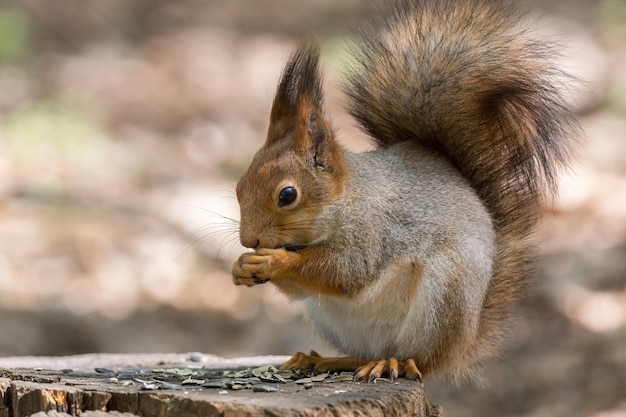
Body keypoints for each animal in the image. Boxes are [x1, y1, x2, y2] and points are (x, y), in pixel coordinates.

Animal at [230, 0, 576, 384]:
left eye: (287, 195)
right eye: (239, 187)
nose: (249, 240)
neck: (346, 200)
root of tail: (464, 346)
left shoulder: (373, 232)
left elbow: (344, 273)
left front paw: (273, 260)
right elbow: (302, 286)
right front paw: (242, 267)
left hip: (444, 297)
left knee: (423, 360)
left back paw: (394, 363)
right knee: (366, 353)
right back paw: (329, 359)